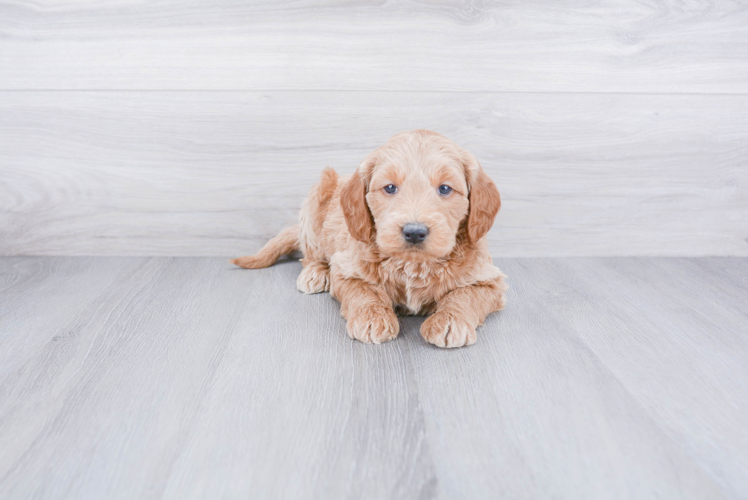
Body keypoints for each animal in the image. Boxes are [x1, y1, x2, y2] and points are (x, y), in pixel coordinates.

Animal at [232, 130, 508, 348]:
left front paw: (450, 321)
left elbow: (464, 296)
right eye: (390, 188)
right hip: (314, 200)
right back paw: (315, 272)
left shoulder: (489, 280)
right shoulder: (346, 269)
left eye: (445, 189)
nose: (414, 232)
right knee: (311, 254)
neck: (413, 264)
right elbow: (365, 291)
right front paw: (372, 318)